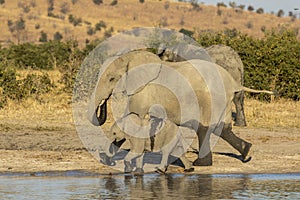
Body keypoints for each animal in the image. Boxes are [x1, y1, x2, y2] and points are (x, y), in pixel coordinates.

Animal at [88, 50, 252, 166]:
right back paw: (246, 151)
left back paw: (200, 164)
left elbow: (132, 118)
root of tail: (233, 82)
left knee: (204, 128)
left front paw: (107, 160)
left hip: (211, 99)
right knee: (224, 129)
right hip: (223, 101)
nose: (103, 102)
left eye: (112, 79)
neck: (131, 57)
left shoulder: (143, 92)